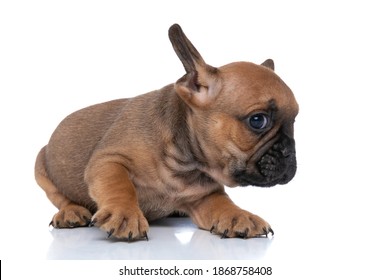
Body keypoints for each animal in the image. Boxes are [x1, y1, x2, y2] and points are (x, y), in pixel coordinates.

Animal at [35, 24, 298, 241]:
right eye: (258, 120)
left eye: (295, 120)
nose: (289, 152)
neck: (182, 164)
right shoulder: (108, 160)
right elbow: (119, 184)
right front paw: (125, 213)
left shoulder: (205, 195)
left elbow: (223, 203)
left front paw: (239, 216)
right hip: (41, 166)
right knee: (60, 196)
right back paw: (70, 212)